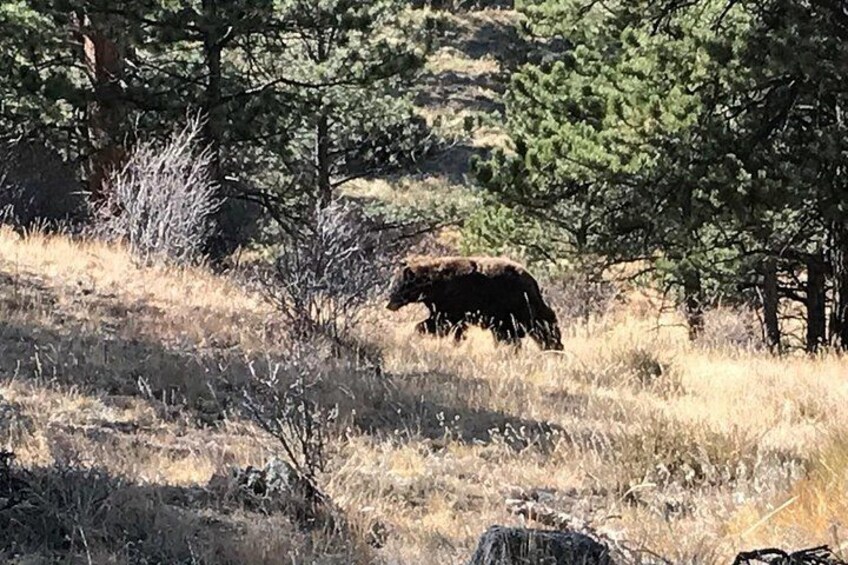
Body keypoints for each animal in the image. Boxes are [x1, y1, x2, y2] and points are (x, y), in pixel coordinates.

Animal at [385, 255, 564, 351]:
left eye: (396, 287)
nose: (389, 305)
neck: (433, 285)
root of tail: (532, 280)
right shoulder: (443, 306)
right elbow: (445, 324)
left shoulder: (452, 302)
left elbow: (442, 322)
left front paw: (419, 330)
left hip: (516, 305)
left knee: (541, 324)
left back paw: (553, 345)